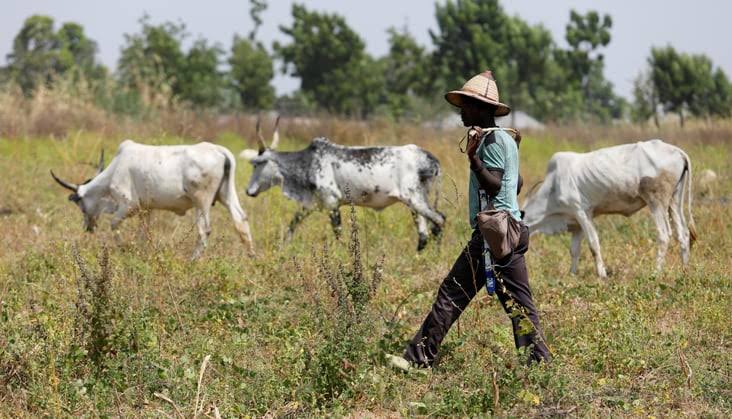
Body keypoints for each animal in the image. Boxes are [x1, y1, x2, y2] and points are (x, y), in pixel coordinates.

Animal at [50, 142, 256, 260]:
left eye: (81, 205)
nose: (88, 227)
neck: (114, 170)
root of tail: (219, 151)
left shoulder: (129, 205)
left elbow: (114, 224)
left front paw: (124, 249)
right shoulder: (146, 209)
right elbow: (145, 232)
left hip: (201, 201)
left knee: (204, 230)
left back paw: (192, 260)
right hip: (226, 195)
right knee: (241, 219)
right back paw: (251, 256)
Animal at [520, 140, 696, 278]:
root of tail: (677, 151)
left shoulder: (581, 212)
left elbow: (593, 244)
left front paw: (602, 274)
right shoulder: (576, 223)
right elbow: (574, 250)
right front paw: (572, 274)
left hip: (656, 201)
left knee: (664, 234)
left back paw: (656, 273)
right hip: (674, 200)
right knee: (683, 234)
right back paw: (684, 271)